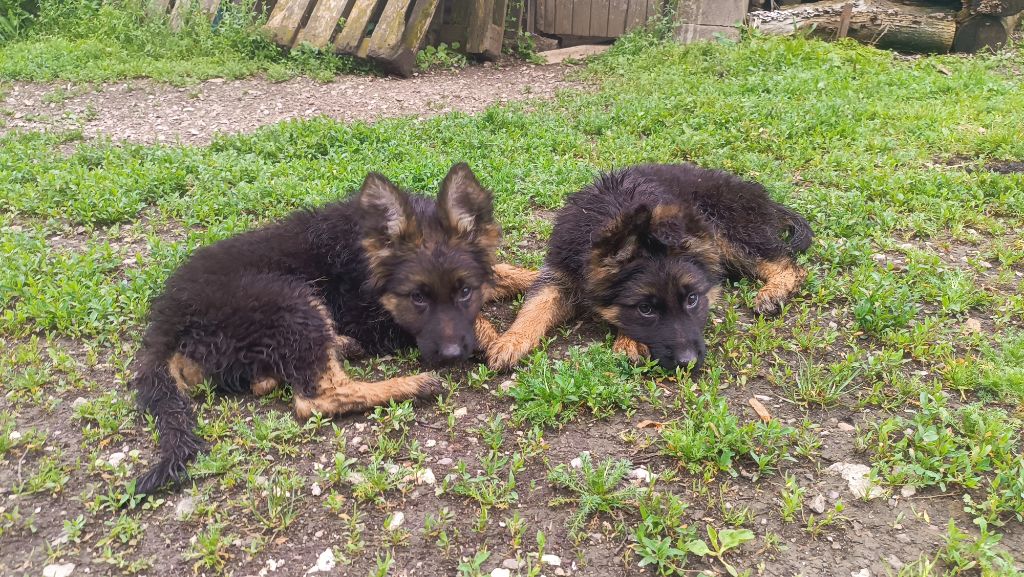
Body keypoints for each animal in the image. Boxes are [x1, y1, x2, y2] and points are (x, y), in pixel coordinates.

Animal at [132, 162, 540, 491]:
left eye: (465, 291)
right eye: (417, 298)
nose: (453, 356)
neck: (369, 256)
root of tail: (165, 320)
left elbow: (507, 273)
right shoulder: (375, 317)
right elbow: (479, 320)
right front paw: (499, 340)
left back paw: (333, 349)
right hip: (290, 298)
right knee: (316, 398)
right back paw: (412, 384)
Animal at [483, 163, 811, 371]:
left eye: (692, 300)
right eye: (646, 308)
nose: (689, 364)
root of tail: (762, 197)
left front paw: (628, 342)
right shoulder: (558, 276)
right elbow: (534, 308)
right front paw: (510, 341)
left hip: (727, 232)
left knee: (789, 265)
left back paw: (772, 293)